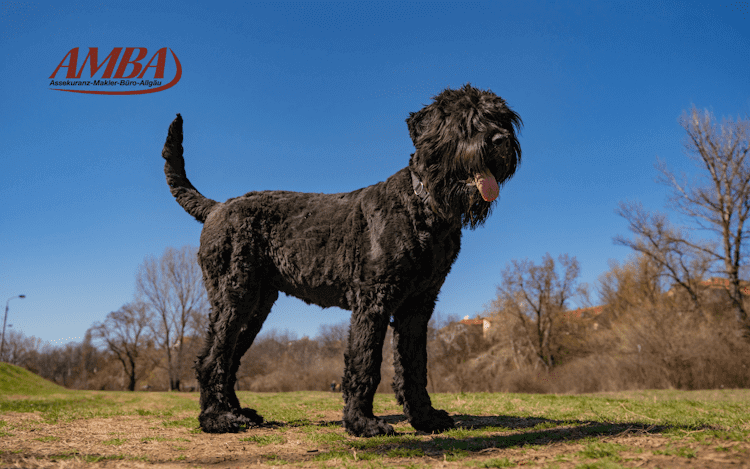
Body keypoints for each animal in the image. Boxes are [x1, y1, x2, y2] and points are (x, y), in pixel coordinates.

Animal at [162, 83, 524, 436]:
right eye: (466, 120)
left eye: (502, 118)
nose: (501, 140)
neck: (422, 207)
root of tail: (217, 207)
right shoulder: (373, 300)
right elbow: (365, 364)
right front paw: (362, 423)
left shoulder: (418, 306)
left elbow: (414, 366)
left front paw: (425, 418)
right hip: (233, 298)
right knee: (211, 359)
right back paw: (216, 419)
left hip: (256, 306)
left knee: (230, 359)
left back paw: (238, 413)